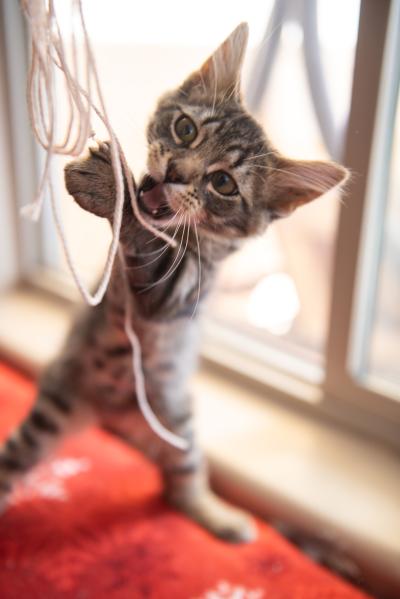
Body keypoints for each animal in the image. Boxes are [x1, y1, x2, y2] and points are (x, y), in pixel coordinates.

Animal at [0, 24, 346, 544]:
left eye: (224, 184)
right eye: (186, 129)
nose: (175, 173)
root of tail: (108, 416)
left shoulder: (176, 296)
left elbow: (147, 246)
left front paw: (111, 192)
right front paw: (114, 186)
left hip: (178, 426)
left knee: (183, 480)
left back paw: (222, 518)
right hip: (52, 410)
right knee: (14, 463)